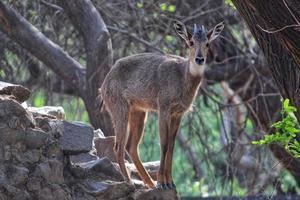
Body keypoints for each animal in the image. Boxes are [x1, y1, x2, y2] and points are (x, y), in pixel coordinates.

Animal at [99, 19, 224, 189]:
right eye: (190, 42)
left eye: (207, 43)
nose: (199, 59)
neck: (182, 78)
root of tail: (103, 86)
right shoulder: (163, 107)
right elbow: (163, 143)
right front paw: (162, 182)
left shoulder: (178, 113)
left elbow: (171, 145)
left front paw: (170, 182)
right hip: (119, 108)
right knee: (118, 145)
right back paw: (130, 181)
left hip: (138, 111)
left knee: (131, 146)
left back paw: (149, 182)